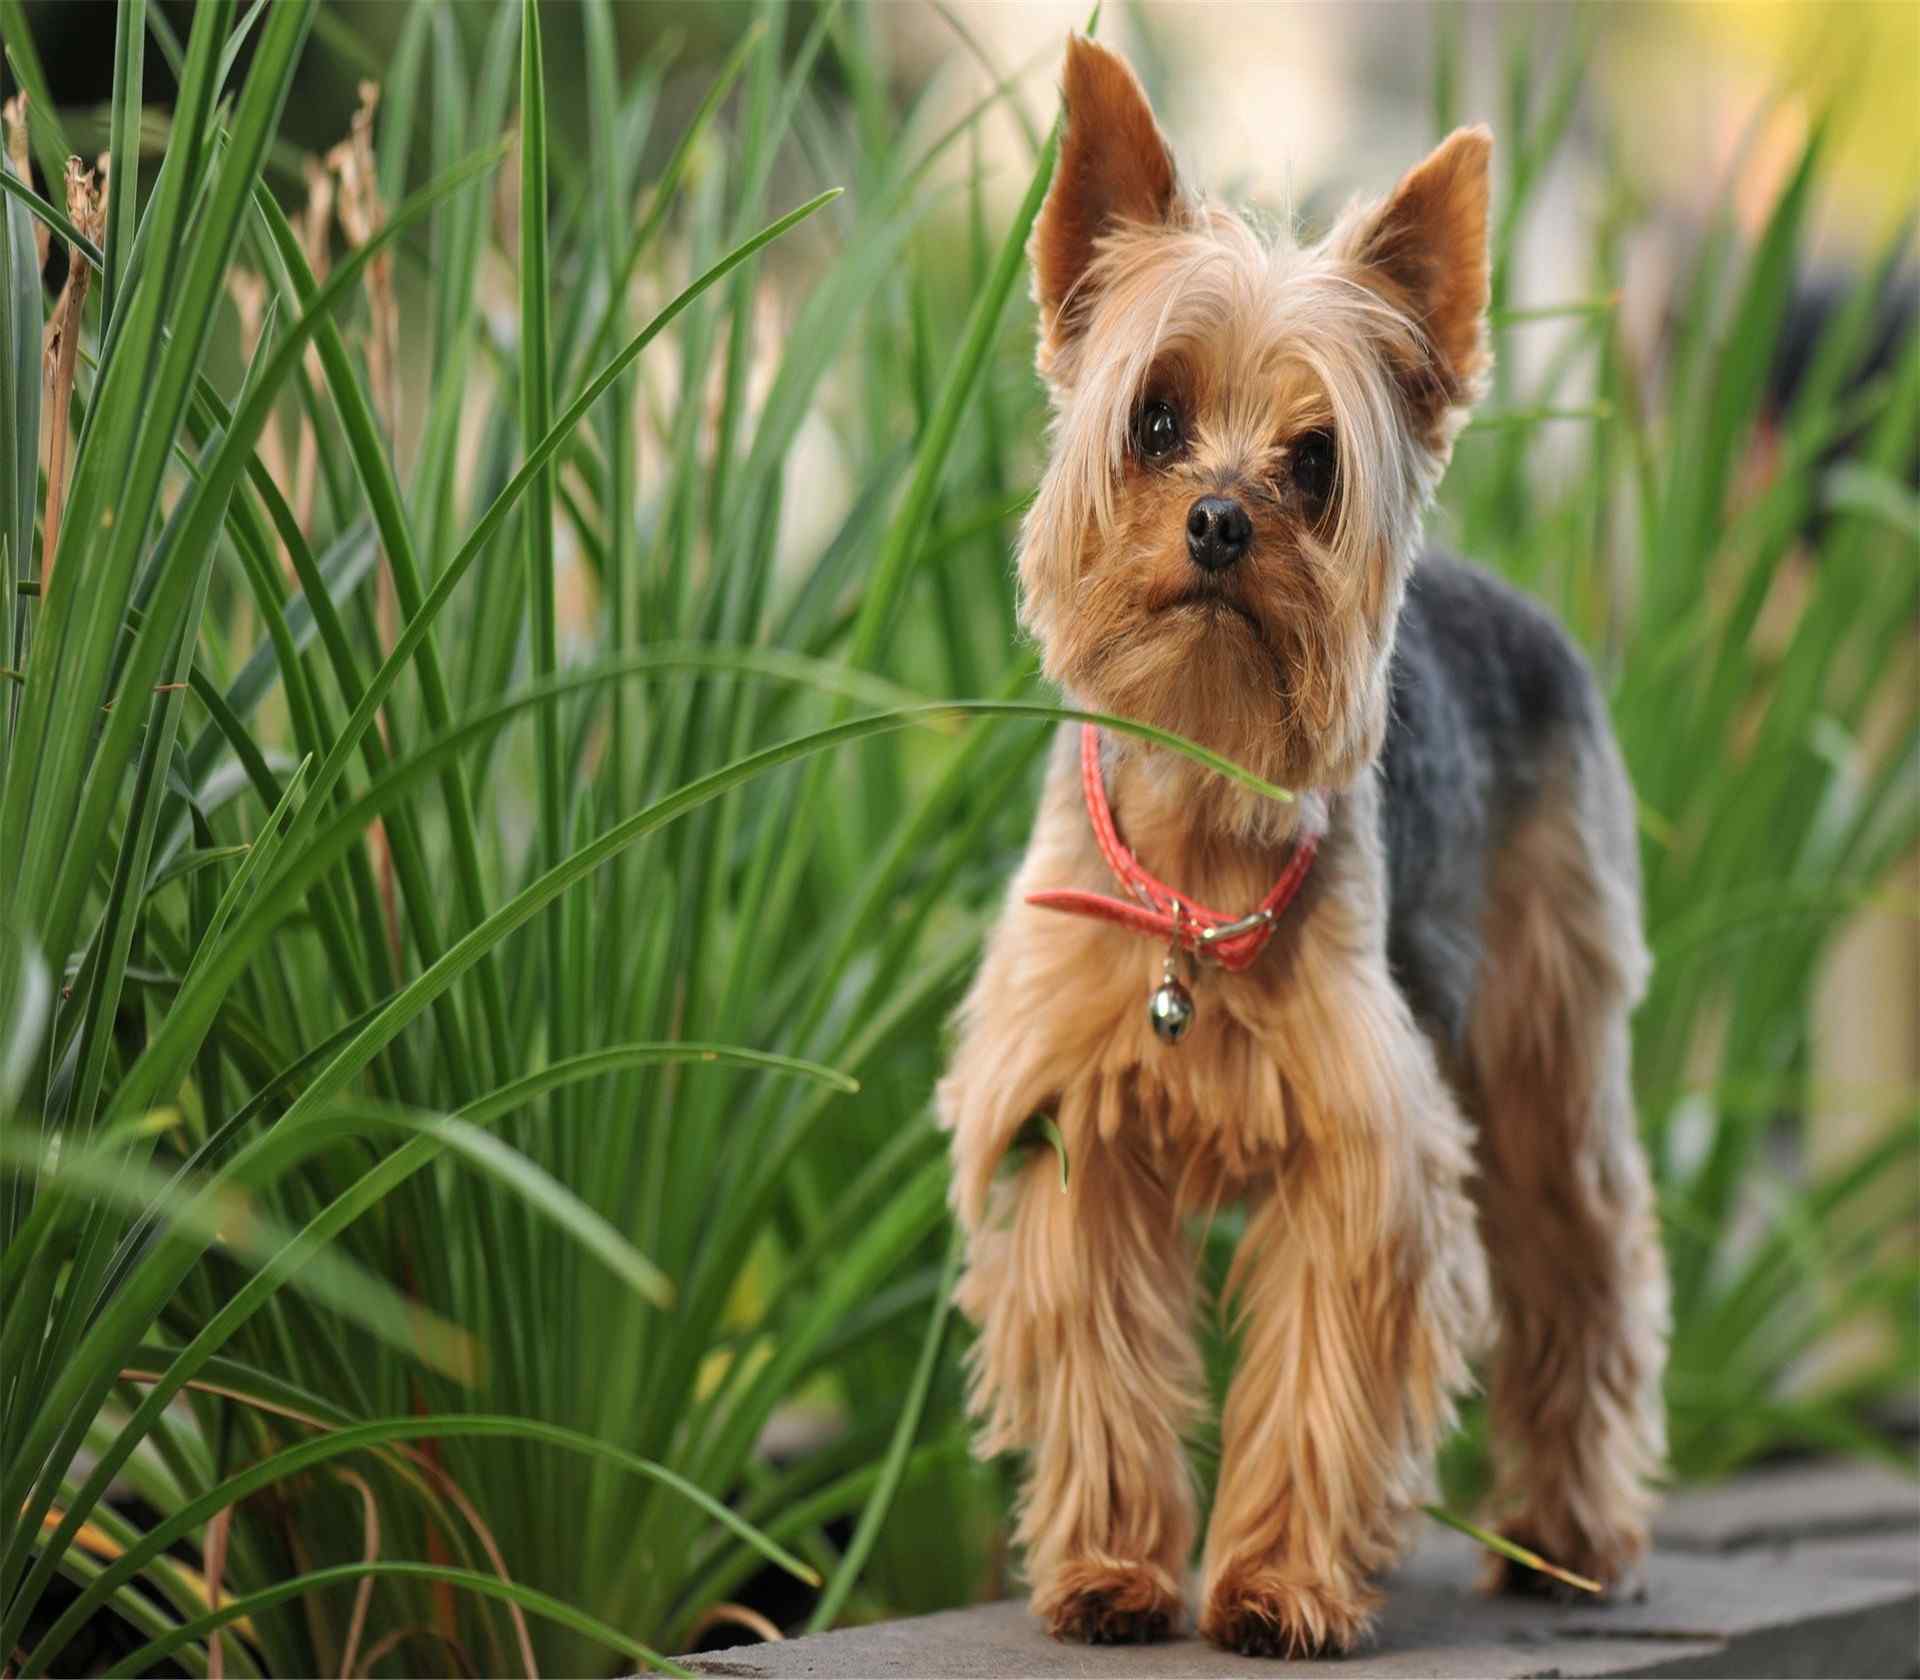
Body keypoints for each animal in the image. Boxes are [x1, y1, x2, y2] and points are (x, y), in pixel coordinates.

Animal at [936, 36, 1674, 1658]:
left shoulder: (1361, 1151)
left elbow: (1324, 1367)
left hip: (1548, 1034)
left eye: (1318, 460)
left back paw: (1564, 1537)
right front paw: (1111, 1572)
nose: (1220, 519)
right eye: (1154, 421)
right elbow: (1099, 1348)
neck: (1201, 827)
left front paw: (1273, 1588)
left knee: (1582, 1256)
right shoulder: (1072, 1124)